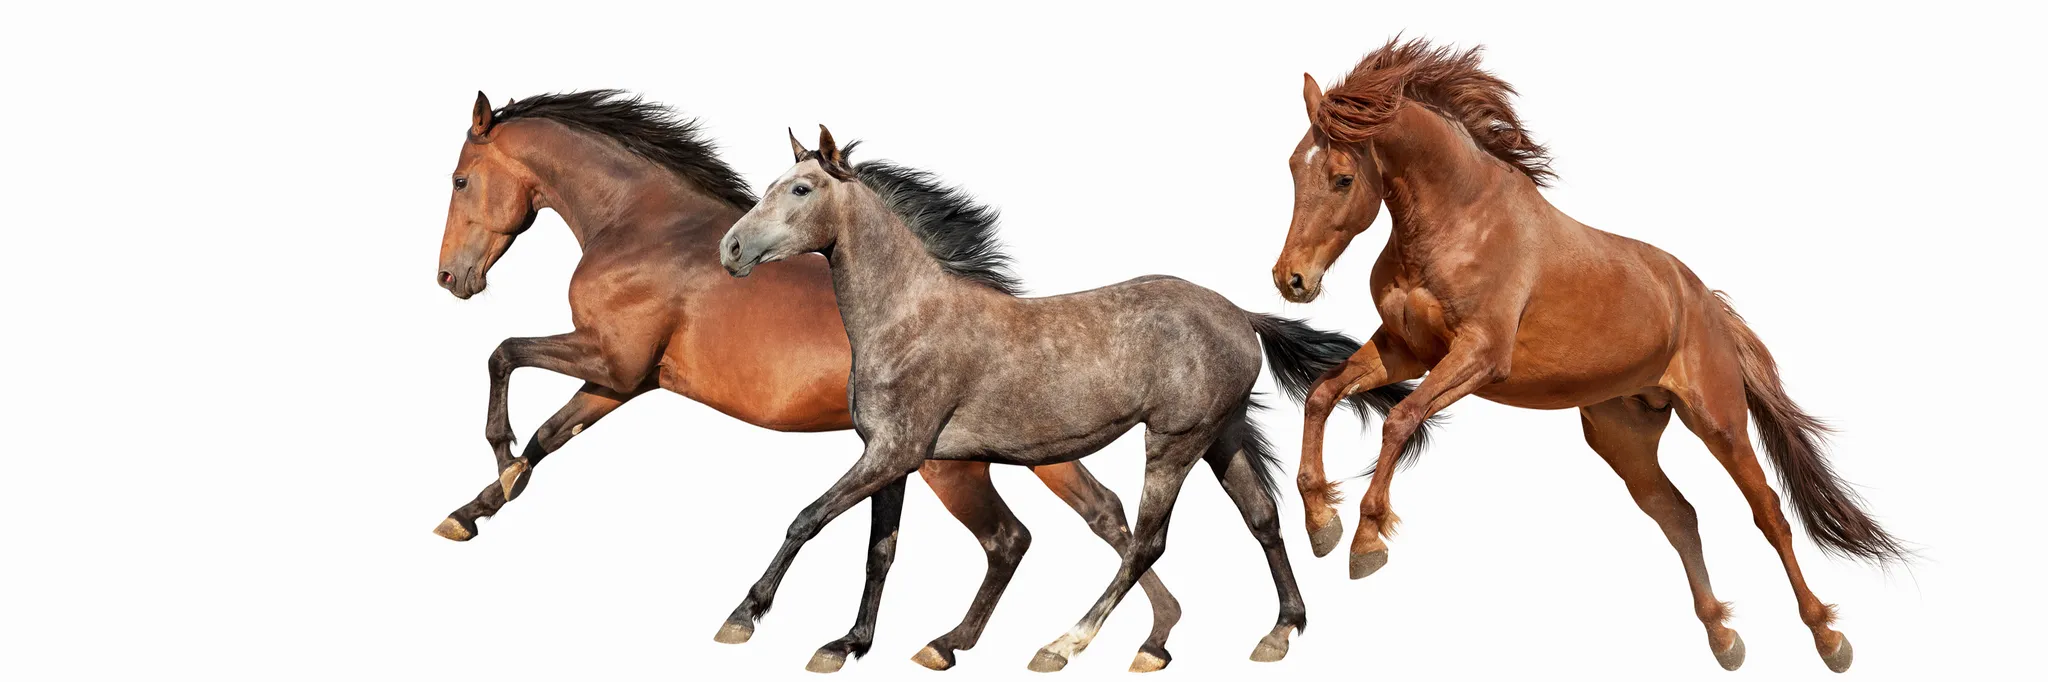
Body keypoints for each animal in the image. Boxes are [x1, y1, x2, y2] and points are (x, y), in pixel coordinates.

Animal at [434, 90, 1193, 672]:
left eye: (459, 180)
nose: (450, 278)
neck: (646, 227)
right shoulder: (622, 380)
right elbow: (548, 433)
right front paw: (476, 507)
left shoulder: (611, 360)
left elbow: (503, 357)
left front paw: (498, 466)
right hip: (1030, 457)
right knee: (1108, 516)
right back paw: (1150, 638)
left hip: (952, 468)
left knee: (1025, 536)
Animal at [715, 128, 1427, 673]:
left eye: (800, 188)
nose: (731, 248)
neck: (906, 317)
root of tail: (1240, 315)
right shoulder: (893, 458)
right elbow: (879, 550)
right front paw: (844, 645)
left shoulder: (895, 452)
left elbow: (807, 519)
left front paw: (743, 617)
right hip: (1219, 437)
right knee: (1262, 518)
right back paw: (1278, 631)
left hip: (1173, 441)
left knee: (1146, 541)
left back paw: (1064, 644)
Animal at [1269, 39, 1908, 672]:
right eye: (1294, 166)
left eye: (1342, 178)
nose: (1290, 279)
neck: (1461, 221)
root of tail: (1704, 302)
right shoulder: (1407, 352)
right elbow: (1322, 395)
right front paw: (1321, 521)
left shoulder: (1478, 355)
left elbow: (1400, 419)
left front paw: (1365, 540)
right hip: (1624, 435)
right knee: (1679, 515)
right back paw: (1723, 637)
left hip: (1719, 421)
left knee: (1769, 513)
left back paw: (1829, 637)